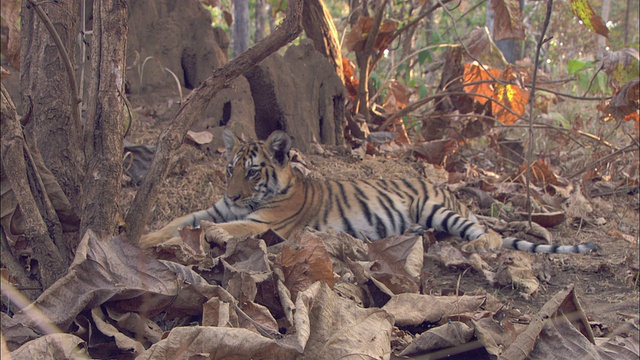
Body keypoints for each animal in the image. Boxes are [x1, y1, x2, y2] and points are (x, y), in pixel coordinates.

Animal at [138, 129, 596, 253]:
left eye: (252, 173)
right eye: (230, 170)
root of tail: (444, 187)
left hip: (437, 208)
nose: (234, 195)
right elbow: (180, 220)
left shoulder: (269, 224)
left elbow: (232, 228)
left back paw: (481, 245)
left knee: (493, 236)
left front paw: (213, 235)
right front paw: (142, 235)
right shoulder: (215, 208)